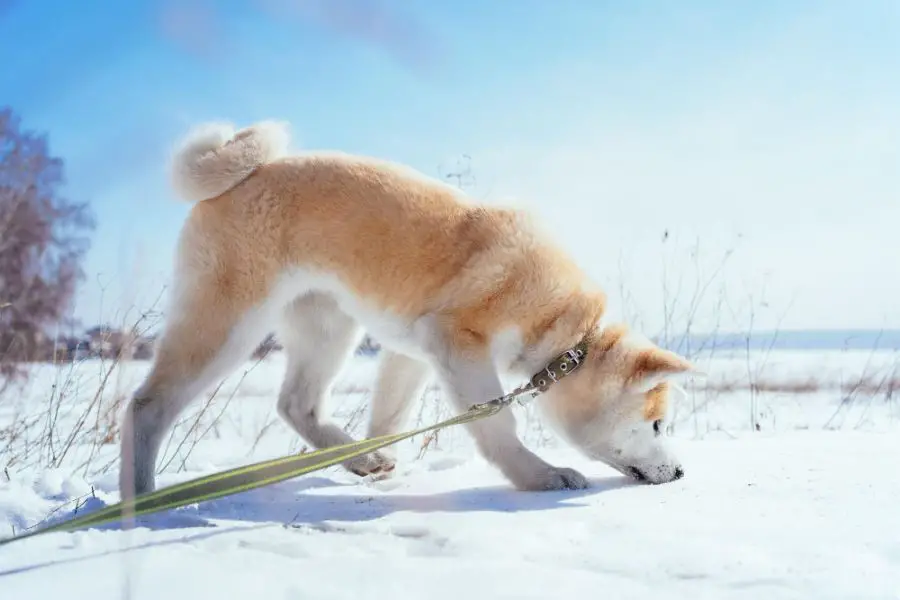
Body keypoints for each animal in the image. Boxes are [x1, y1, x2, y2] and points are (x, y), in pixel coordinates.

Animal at [118, 119, 696, 500]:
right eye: (658, 425)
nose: (681, 473)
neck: (563, 330)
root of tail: (246, 173)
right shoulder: (458, 346)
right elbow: (497, 423)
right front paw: (540, 476)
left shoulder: (416, 354)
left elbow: (391, 417)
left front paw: (382, 460)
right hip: (228, 326)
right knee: (146, 406)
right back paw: (140, 500)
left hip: (327, 326)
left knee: (297, 404)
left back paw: (362, 460)